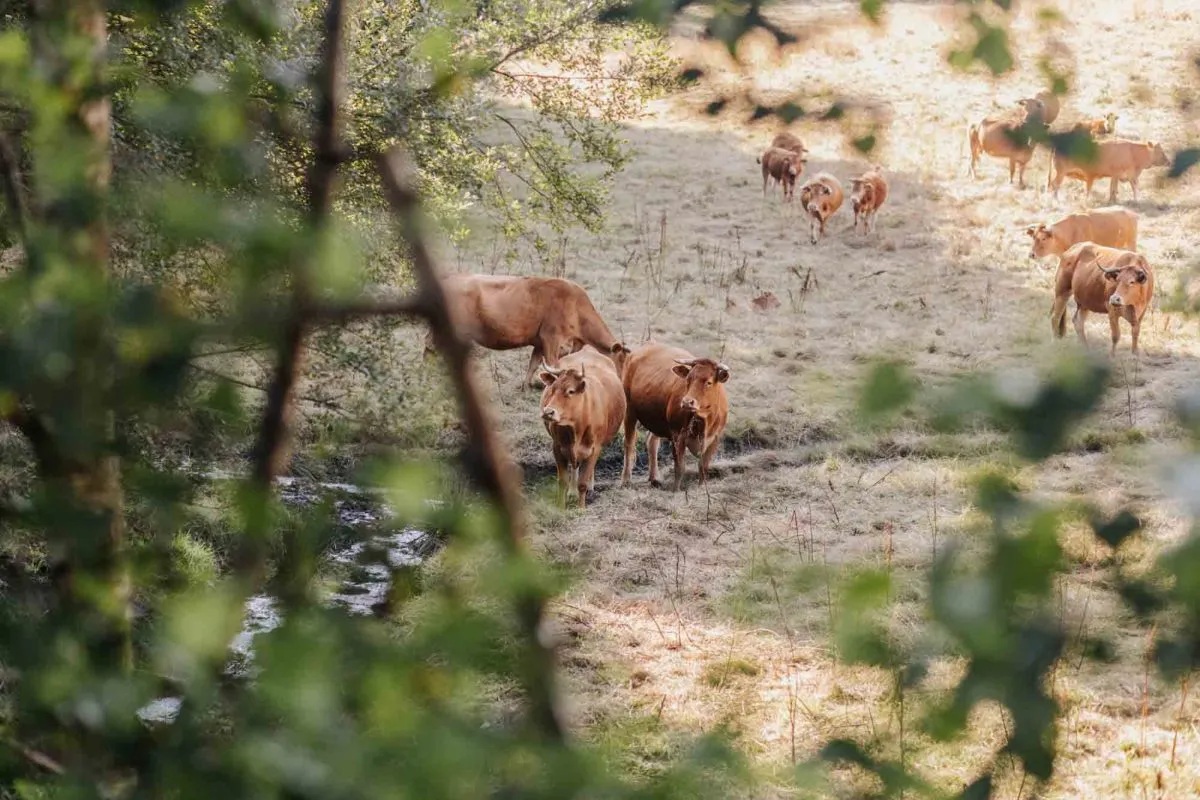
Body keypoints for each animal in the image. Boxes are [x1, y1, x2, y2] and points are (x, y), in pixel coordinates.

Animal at [438, 274, 626, 388]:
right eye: (620, 361)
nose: (622, 383)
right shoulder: (551, 337)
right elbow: (553, 366)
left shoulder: (540, 343)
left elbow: (533, 364)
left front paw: (525, 387)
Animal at [539, 346, 627, 508]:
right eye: (552, 388)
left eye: (571, 391)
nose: (548, 412)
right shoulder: (557, 447)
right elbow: (563, 481)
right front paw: (561, 506)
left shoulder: (594, 449)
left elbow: (583, 482)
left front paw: (581, 508)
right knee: (575, 467)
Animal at [620, 343, 730, 492]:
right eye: (688, 379)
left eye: (708, 382)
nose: (687, 402)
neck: (704, 420)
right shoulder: (677, 435)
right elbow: (680, 467)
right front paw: (676, 490)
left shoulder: (715, 438)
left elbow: (703, 466)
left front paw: (701, 488)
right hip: (629, 410)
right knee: (629, 444)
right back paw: (626, 481)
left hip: (657, 419)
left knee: (652, 442)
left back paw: (654, 478)